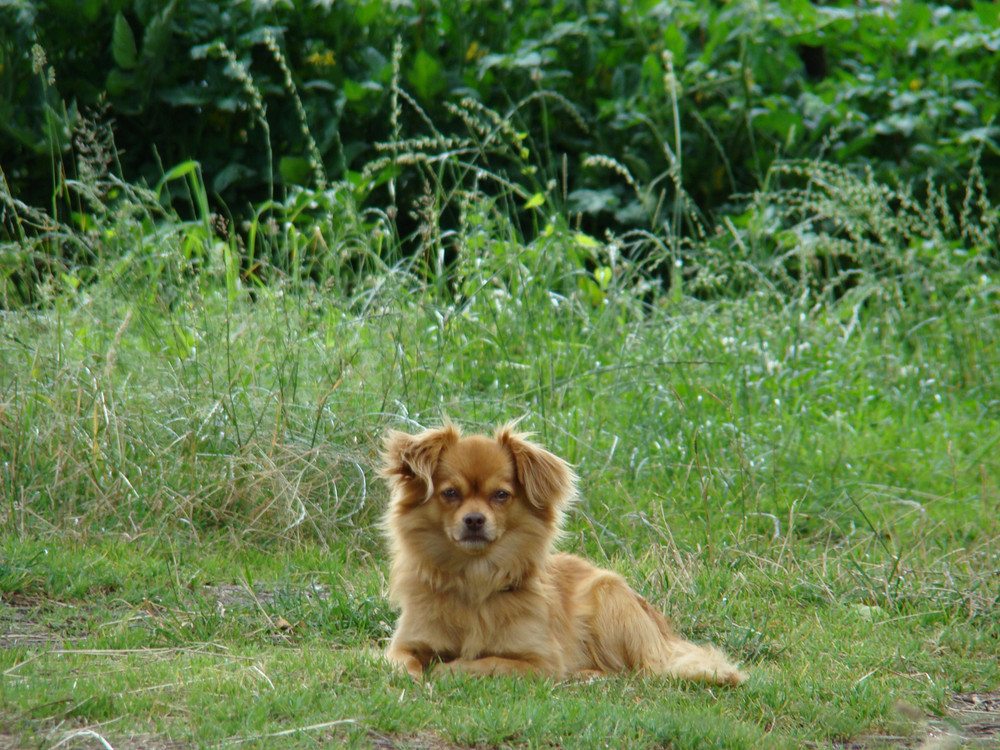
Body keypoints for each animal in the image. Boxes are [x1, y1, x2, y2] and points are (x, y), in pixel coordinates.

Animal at [378, 424, 748, 688]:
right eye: (450, 493)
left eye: (501, 495)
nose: (474, 519)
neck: (475, 577)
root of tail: (663, 632)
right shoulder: (404, 644)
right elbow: (400, 661)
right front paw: (412, 677)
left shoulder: (542, 663)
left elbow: (489, 663)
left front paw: (449, 670)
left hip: (607, 600)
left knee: (635, 671)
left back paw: (588, 675)